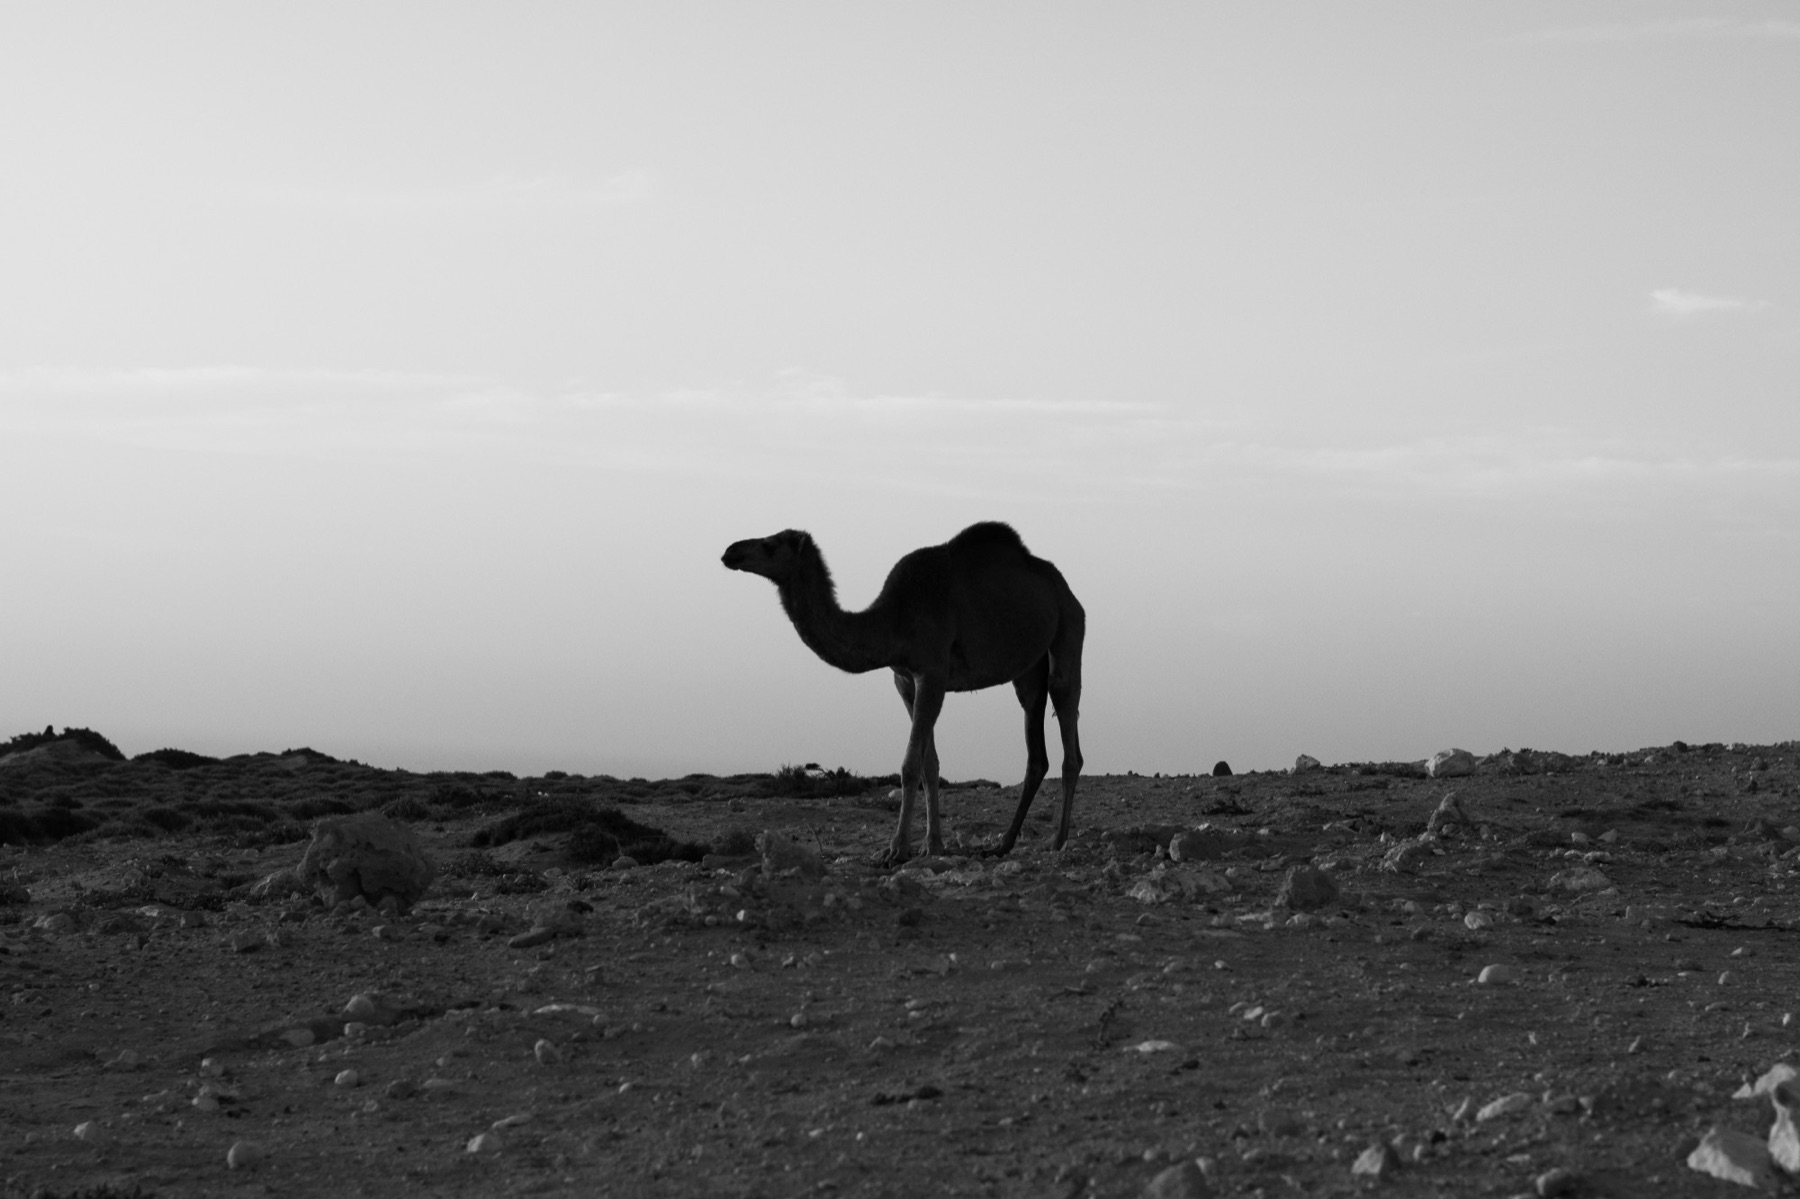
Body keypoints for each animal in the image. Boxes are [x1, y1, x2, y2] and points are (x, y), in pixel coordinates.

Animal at [722, 521, 1084, 866]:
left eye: (770, 545)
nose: (730, 552)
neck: (894, 618)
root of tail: (1065, 588)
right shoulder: (904, 679)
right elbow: (929, 764)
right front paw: (932, 845)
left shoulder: (932, 673)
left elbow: (910, 764)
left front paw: (895, 850)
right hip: (1027, 670)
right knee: (1035, 744)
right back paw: (1002, 845)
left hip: (1069, 627)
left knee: (1066, 715)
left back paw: (1058, 841)